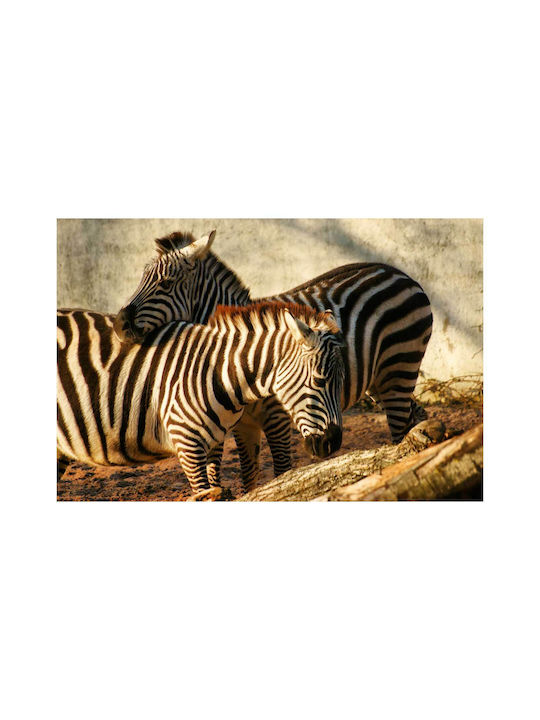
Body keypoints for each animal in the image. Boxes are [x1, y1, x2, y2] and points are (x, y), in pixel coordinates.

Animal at [57, 302, 345, 499]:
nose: (333, 443)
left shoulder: (214, 443)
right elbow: (202, 494)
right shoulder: (187, 443)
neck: (218, 371)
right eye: (320, 380)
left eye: (340, 380)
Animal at [114, 229, 433, 489]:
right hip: (381, 381)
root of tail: (402, 274)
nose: (118, 325)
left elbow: (280, 472)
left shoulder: (278, 417)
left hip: (399, 368)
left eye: (166, 283)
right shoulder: (237, 424)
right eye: (140, 279)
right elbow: (242, 476)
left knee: (399, 430)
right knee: (415, 417)